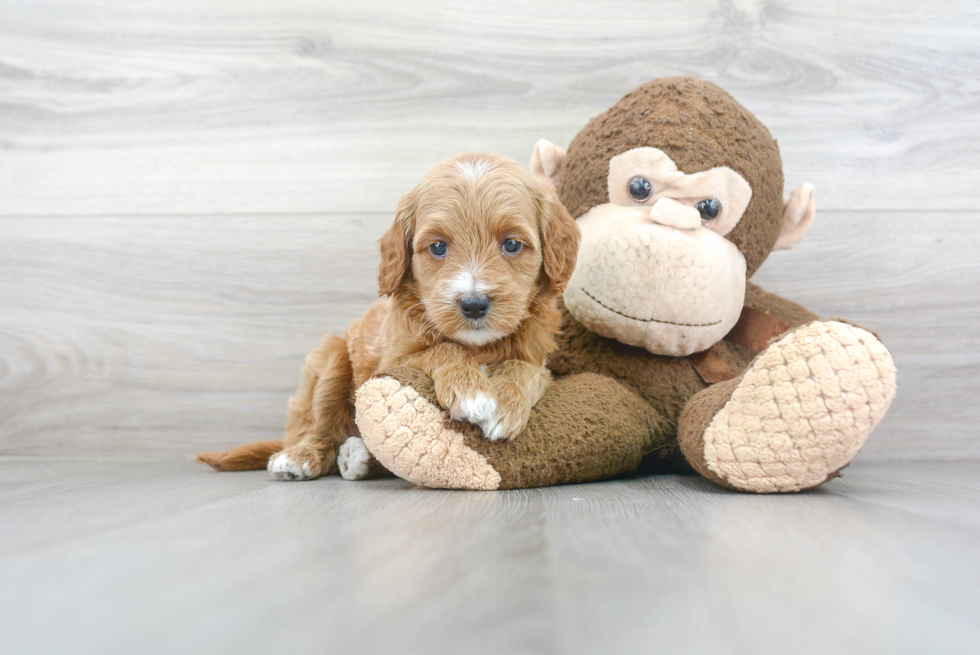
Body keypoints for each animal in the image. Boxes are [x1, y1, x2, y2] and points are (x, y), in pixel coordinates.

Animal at [199, 154, 580, 482]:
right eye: (438, 247)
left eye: (512, 244)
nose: (474, 304)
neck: (478, 348)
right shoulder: (392, 359)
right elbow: (440, 350)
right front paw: (471, 391)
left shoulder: (540, 362)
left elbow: (524, 369)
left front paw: (507, 406)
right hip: (331, 359)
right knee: (319, 426)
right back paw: (300, 457)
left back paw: (357, 457)